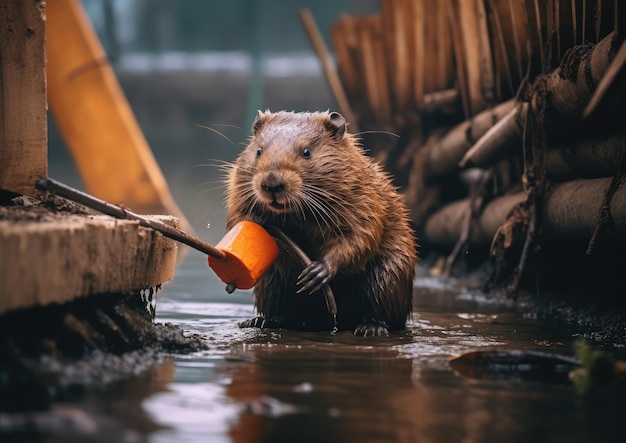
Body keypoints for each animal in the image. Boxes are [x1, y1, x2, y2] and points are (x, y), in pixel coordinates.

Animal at [224, 111, 414, 336]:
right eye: (259, 150)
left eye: (306, 152)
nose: (272, 185)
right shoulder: (238, 187)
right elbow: (237, 220)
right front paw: (262, 222)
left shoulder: (362, 195)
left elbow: (359, 235)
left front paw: (315, 273)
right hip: (269, 282)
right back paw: (260, 321)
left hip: (390, 274)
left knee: (381, 303)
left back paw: (371, 328)